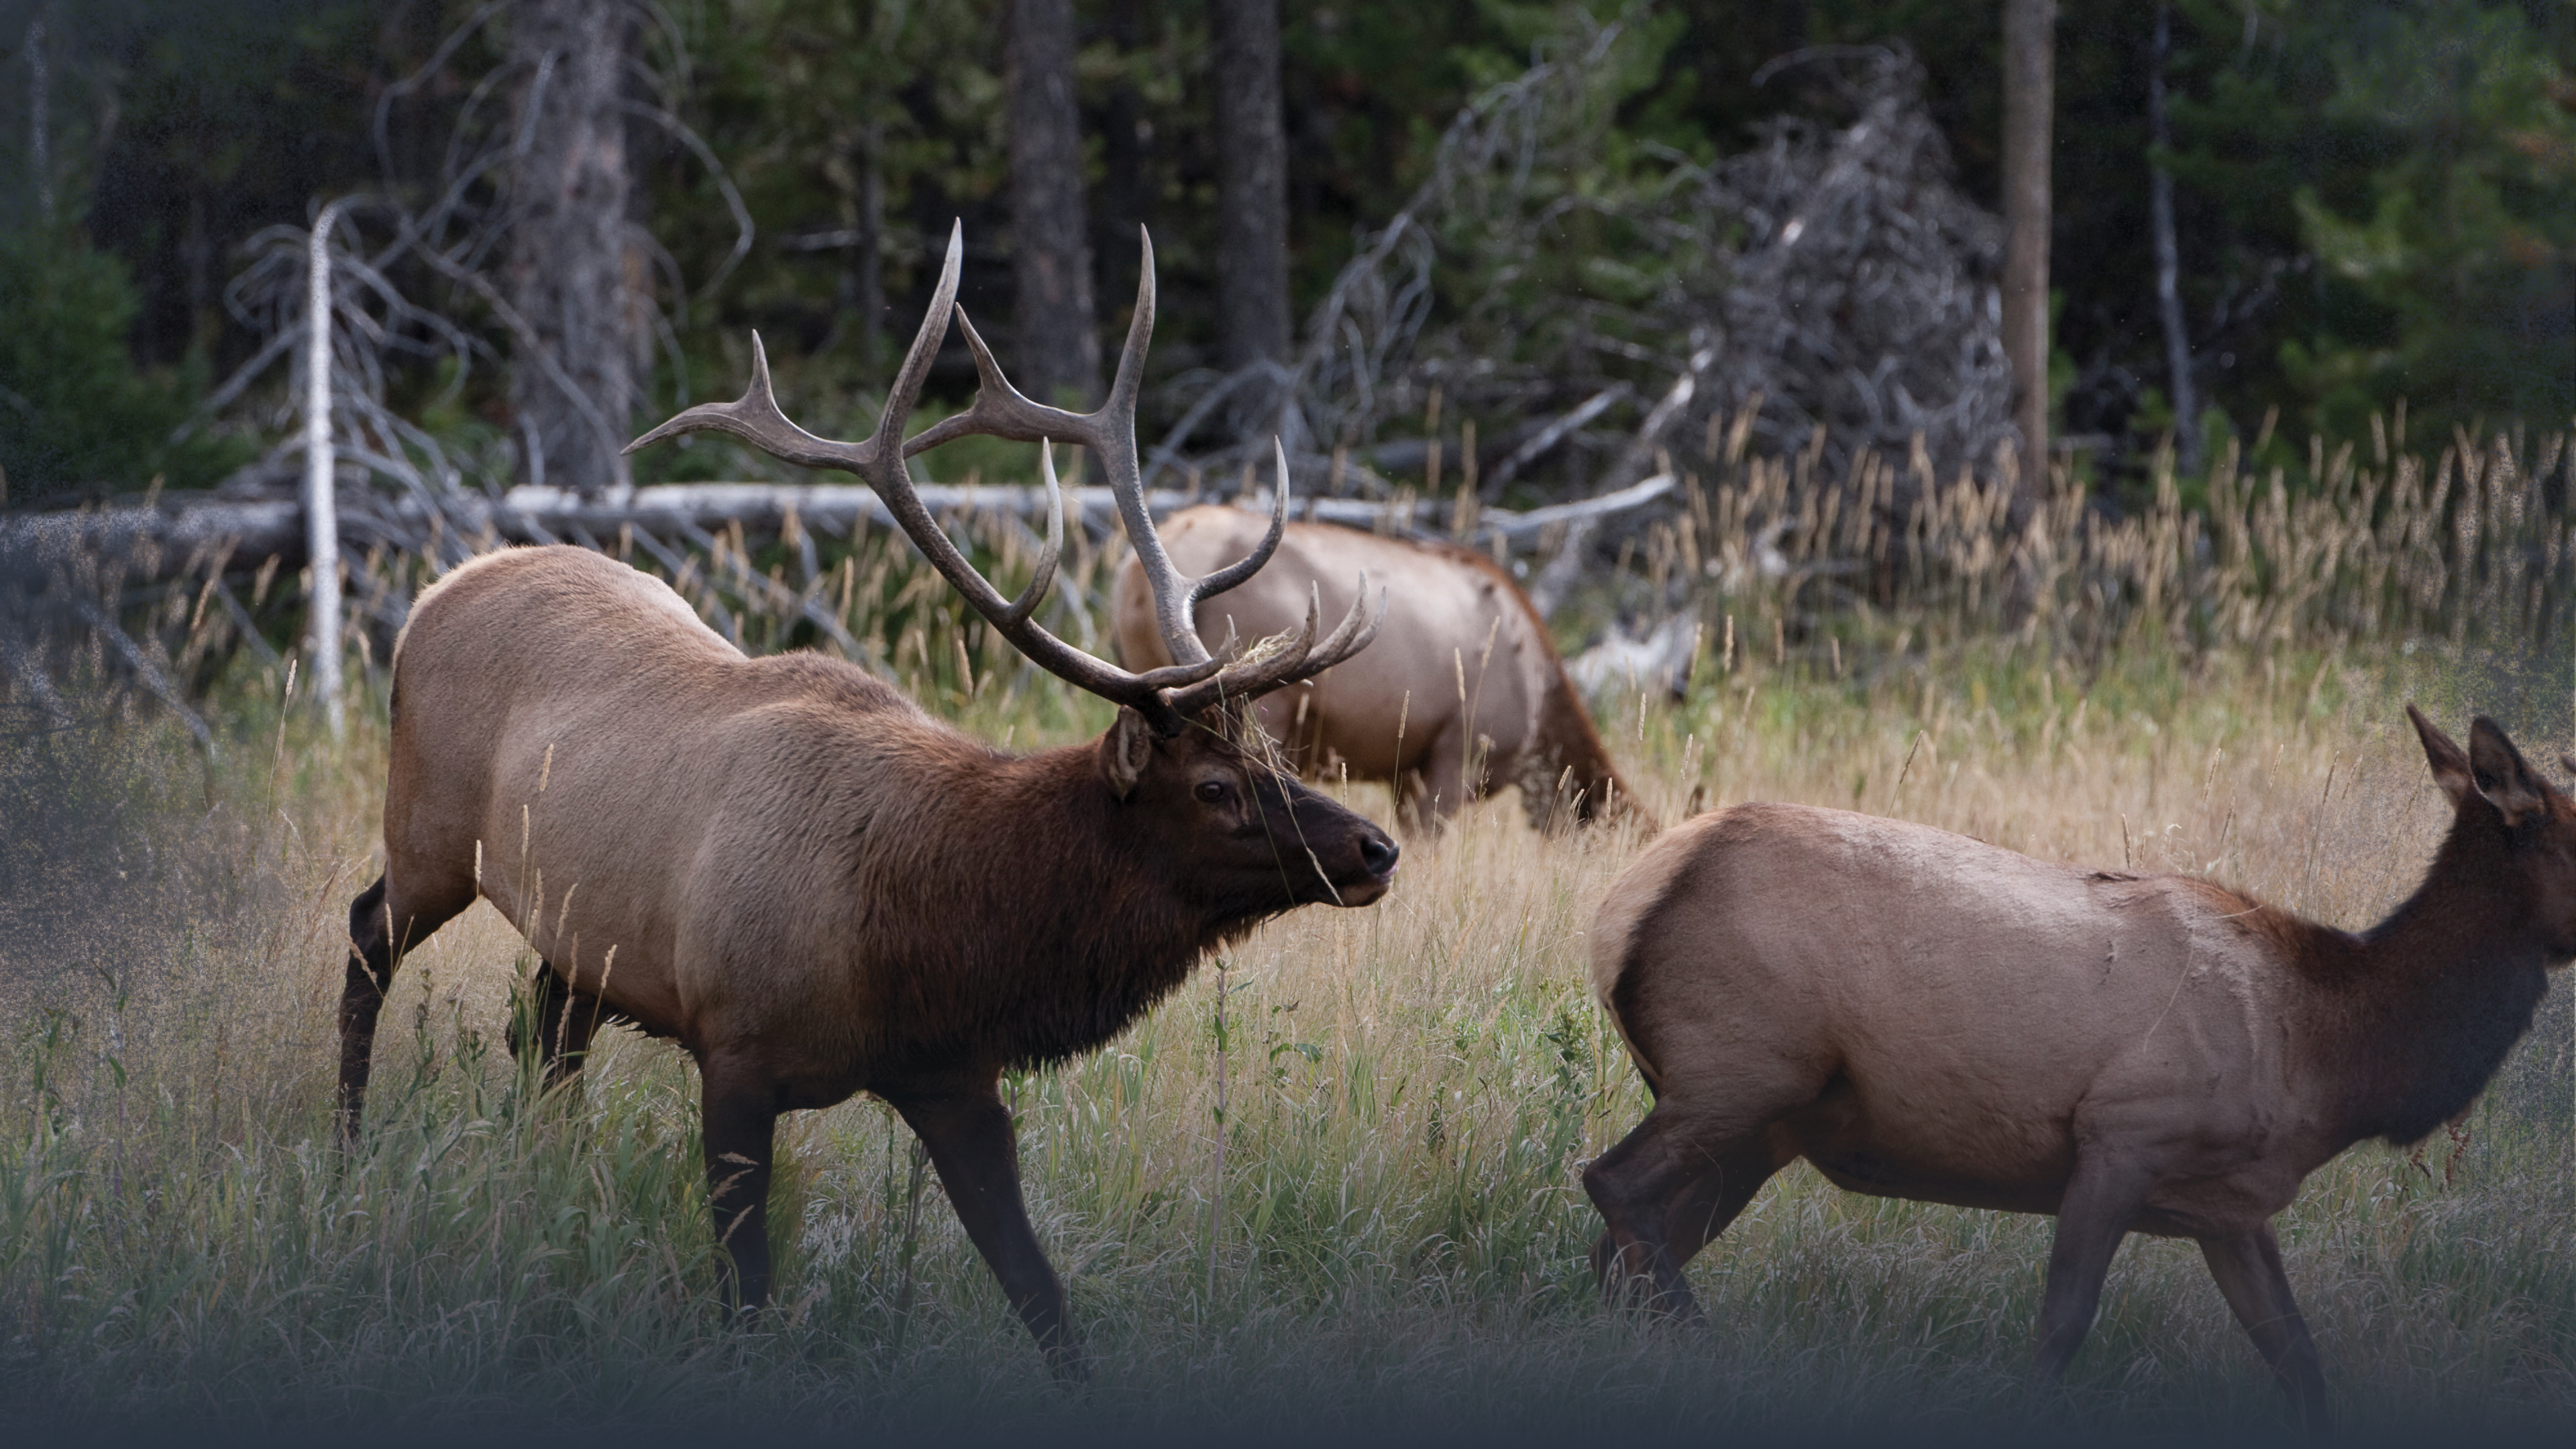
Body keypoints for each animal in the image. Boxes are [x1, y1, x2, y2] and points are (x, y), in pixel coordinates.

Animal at [333, 226, 1399, 1382]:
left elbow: (1041, 1292)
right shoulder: (735, 1049)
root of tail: (436, 591)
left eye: (1268, 750)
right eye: (1212, 786)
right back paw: (347, 1151)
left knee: (541, 1033)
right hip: (430, 837)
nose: (1376, 848)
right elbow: (748, 1291)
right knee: (368, 936)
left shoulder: (951, 1077)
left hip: (583, 938)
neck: (920, 939)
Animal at [1583, 706, 2576, 1433]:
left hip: (1762, 1127)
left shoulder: (2229, 1204)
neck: (2329, 1057)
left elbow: (2297, 1355)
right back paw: (1714, 1357)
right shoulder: (2122, 1134)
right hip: (1740, 1070)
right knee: (1611, 1186)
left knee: (1621, 1249)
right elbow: (2061, 1326)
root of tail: (1621, 905)